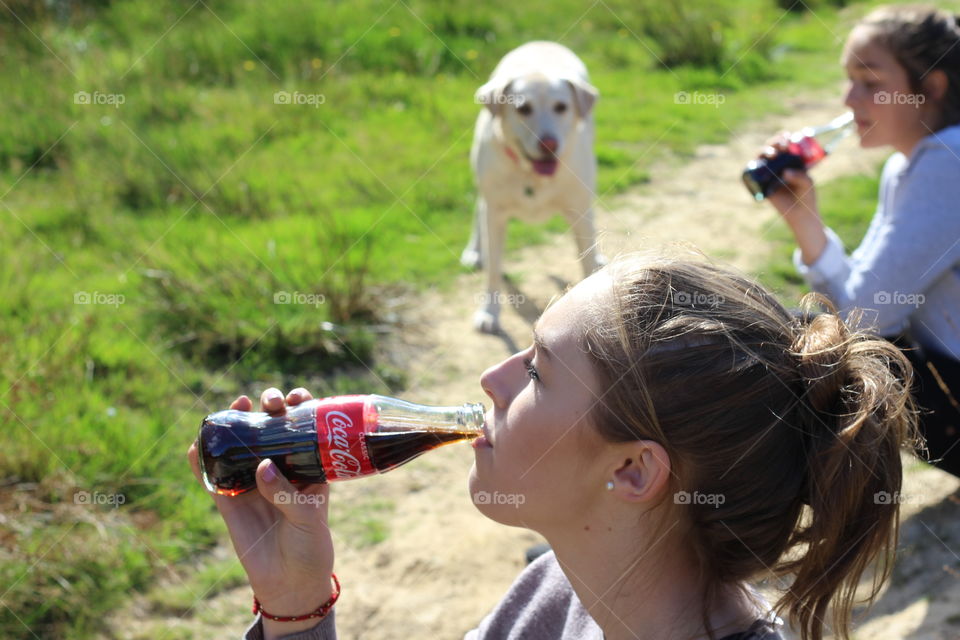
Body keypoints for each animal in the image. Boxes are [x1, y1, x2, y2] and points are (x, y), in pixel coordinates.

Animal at [462, 38, 604, 336]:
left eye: (561, 107)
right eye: (523, 108)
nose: (548, 144)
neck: (531, 175)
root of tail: (542, 42)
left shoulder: (578, 208)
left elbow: (586, 262)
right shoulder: (495, 213)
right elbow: (493, 269)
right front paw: (489, 312)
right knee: (478, 212)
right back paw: (474, 251)